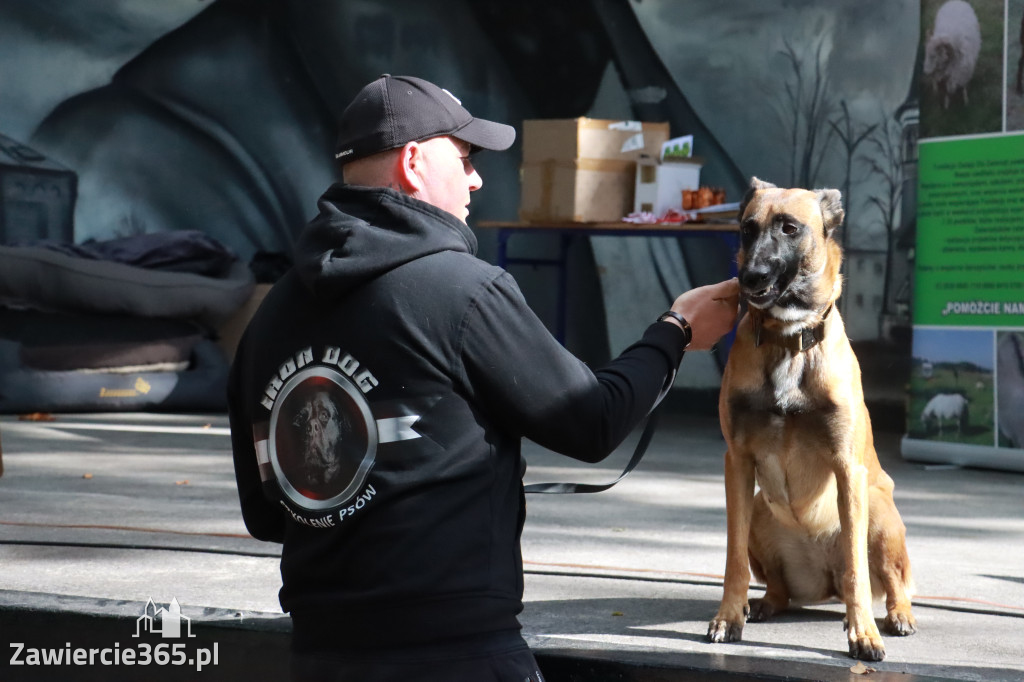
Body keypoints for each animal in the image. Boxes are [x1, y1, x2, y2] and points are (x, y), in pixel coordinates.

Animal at [704, 175, 921, 659]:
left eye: (789, 227)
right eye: (747, 228)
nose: (750, 277)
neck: (789, 338)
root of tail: (823, 579)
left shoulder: (848, 469)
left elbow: (857, 570)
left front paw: (863, 633)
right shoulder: (736, 463)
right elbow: (732, 560)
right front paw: (729, 617)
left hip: (878, 512)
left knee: (890, 582)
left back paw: (895, 616)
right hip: (758, 511)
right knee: (778, 587)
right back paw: (763, 605)